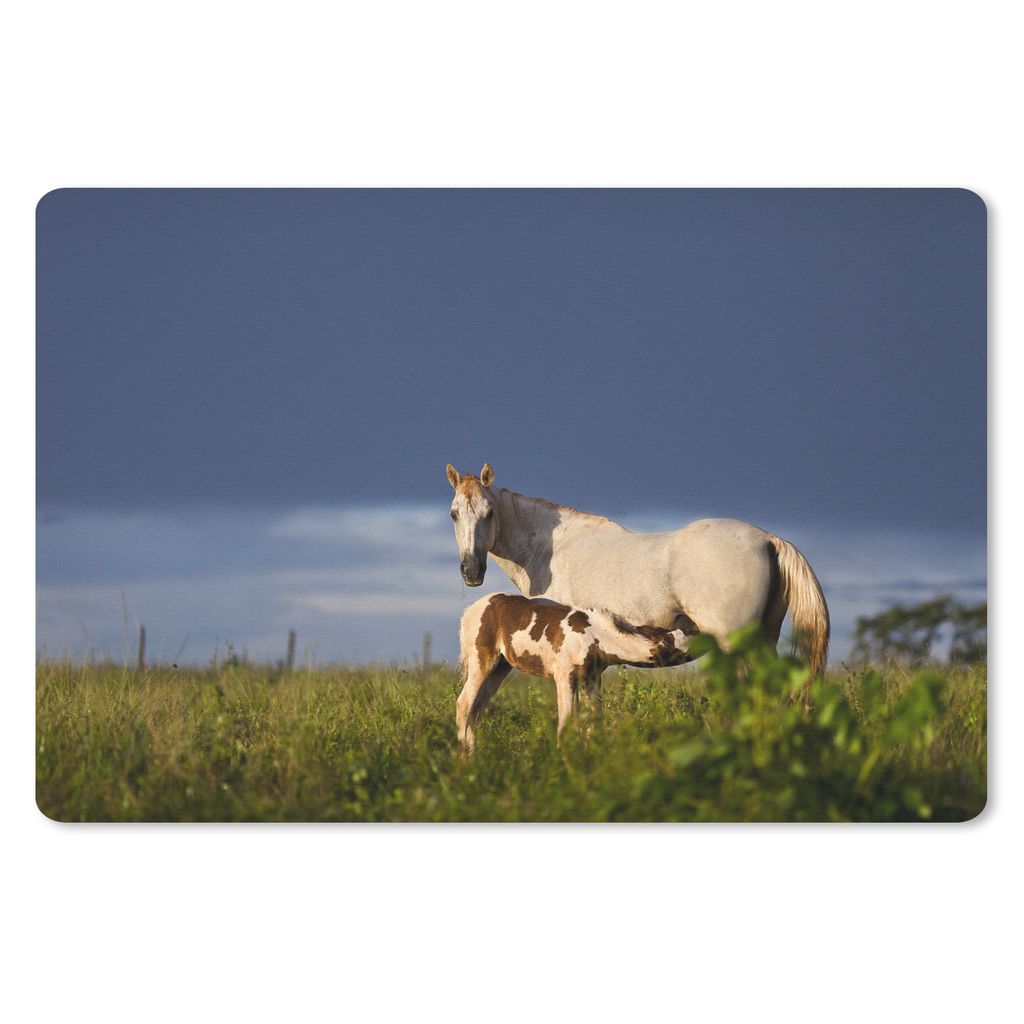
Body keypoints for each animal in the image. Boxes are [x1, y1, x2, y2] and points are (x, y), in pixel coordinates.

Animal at [445, 463, 830, 682]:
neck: (550, 551)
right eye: (454, 513)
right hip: (764, 637)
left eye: (490, 512)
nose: (471, 570)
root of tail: (767, 539)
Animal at [456, 592, 694, 750]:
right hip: (482, 661)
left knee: (477, 707)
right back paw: (465, 759)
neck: (594, 635)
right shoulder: (564, 675)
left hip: (500, 668)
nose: (698, 634)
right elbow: (567, 719)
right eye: (673, 639)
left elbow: (592, 720)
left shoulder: (591, 677)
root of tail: (467, 612)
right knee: (464, 704)